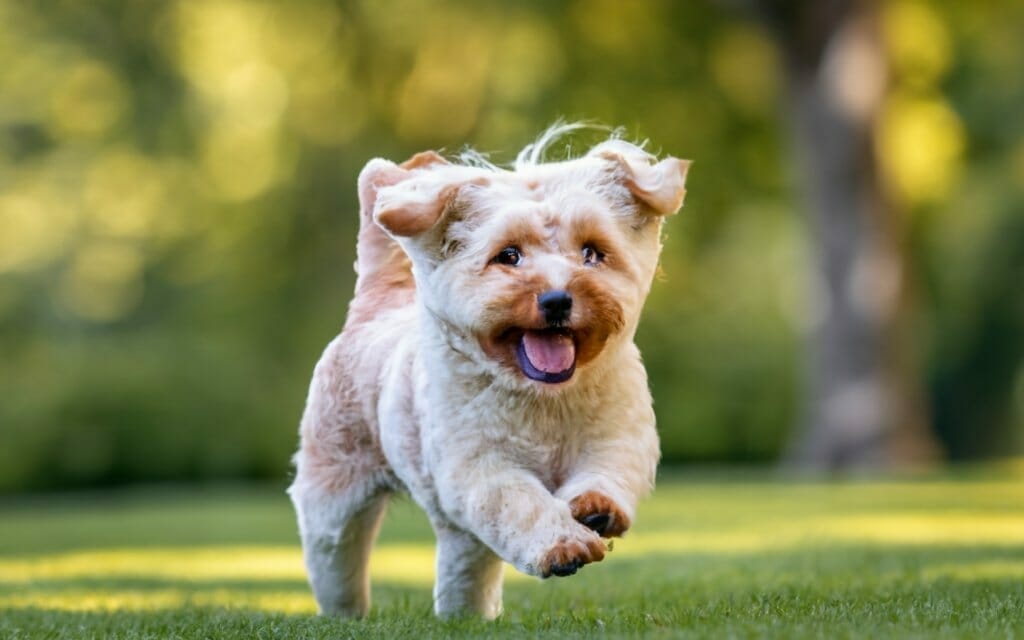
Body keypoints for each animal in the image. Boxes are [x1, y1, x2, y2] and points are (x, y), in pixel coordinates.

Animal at [286, 125, 688, 618]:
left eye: (593, 253)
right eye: (508, 255)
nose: (557, 299)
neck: (544, 399)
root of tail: (372, 308)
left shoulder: (617, 437)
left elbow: (607, 473)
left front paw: (595, 508)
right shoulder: (481, 468)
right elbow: (522, 505)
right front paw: (563, 545)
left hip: (454, 533)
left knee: (465, 564)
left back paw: (465, 615)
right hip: (334, 491)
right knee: (335, 557)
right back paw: (347, 613)